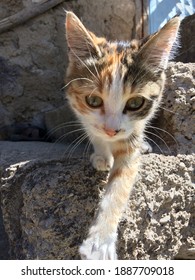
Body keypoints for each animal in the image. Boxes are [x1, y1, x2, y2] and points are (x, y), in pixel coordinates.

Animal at [64, 12, 181, 260]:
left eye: (135, 103)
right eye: (93, 100)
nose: (112, 130)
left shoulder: (131, 134)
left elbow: (121, 182)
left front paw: (99, 242)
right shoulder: (81, 112)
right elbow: (93, 131)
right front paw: (101, 155)